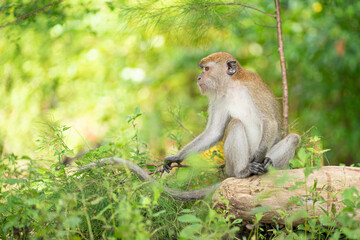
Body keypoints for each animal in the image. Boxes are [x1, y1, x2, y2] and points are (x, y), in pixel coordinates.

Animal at [82, 52, 300, 201]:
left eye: (206, 69)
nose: (198, 78)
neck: (231, 86)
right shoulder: (218, 99)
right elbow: (214, 131)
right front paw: (176, 157)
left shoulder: (252, 89)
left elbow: (270, 122)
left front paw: (259, 157)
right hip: (230, 166)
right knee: (235, 124)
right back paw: (242, 172)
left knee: (292, 138)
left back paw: (266, 168)